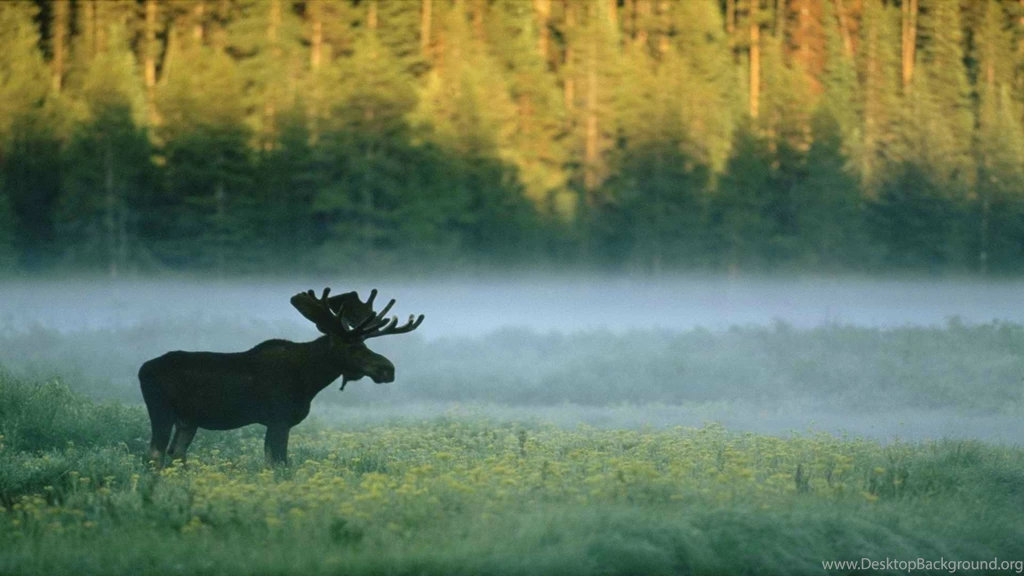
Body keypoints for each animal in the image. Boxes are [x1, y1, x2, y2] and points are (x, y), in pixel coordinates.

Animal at [138, 288, 424, 467]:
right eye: (352, 347)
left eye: (365, 344)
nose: (388, 369)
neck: (311, 379)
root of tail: (141, 370)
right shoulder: (279, 419)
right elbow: (279, 464)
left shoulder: (275, 422)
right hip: (162, 410)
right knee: (155, 453)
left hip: (188, 420)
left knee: (176, 453)